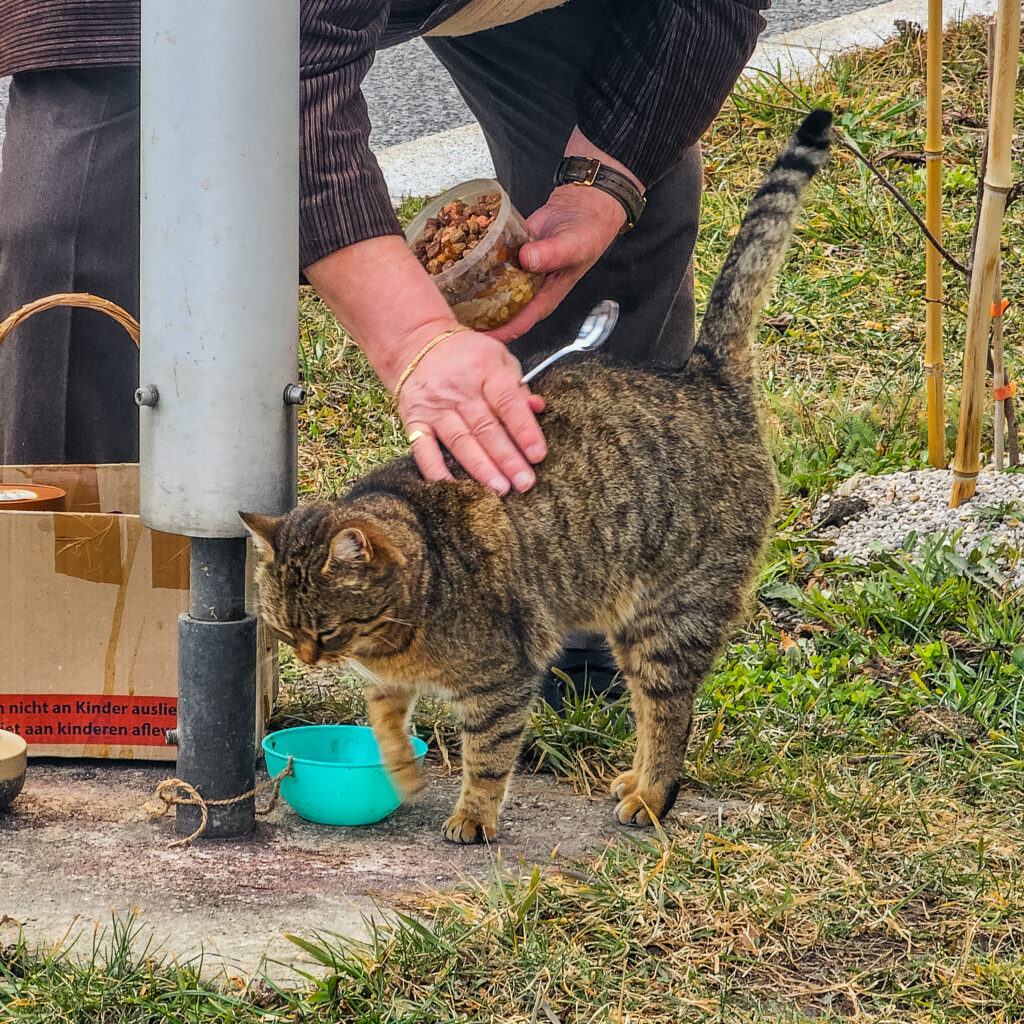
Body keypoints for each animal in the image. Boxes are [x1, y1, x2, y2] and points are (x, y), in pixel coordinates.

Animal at [241, 114, 831, 847]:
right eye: (282, 628)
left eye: (322, 630)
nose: (307, 659)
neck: (403, 621)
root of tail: (703, 374)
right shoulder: (387, 683)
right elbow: (381, 722)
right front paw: (400, 773)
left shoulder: (501, 680)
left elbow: (488, 755)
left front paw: (472, 815)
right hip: (635, 626)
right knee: (649, 708)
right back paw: (634, 781)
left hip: (671, 617)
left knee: (670, 714)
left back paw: (652, 795)